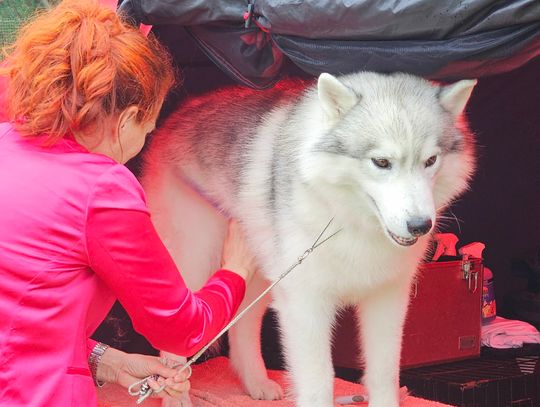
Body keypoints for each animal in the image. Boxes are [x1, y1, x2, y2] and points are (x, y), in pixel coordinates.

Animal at [139, 71, 477, 407]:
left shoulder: (387, 300)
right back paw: (178, 397)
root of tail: (179, 113)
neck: (350, 222)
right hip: (195, 265)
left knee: (242, 324)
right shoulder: (306, 304)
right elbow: (318, 382)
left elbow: (384, 375)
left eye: (431, 160)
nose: (420, 225)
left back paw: (256, 382)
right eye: (381, 162)